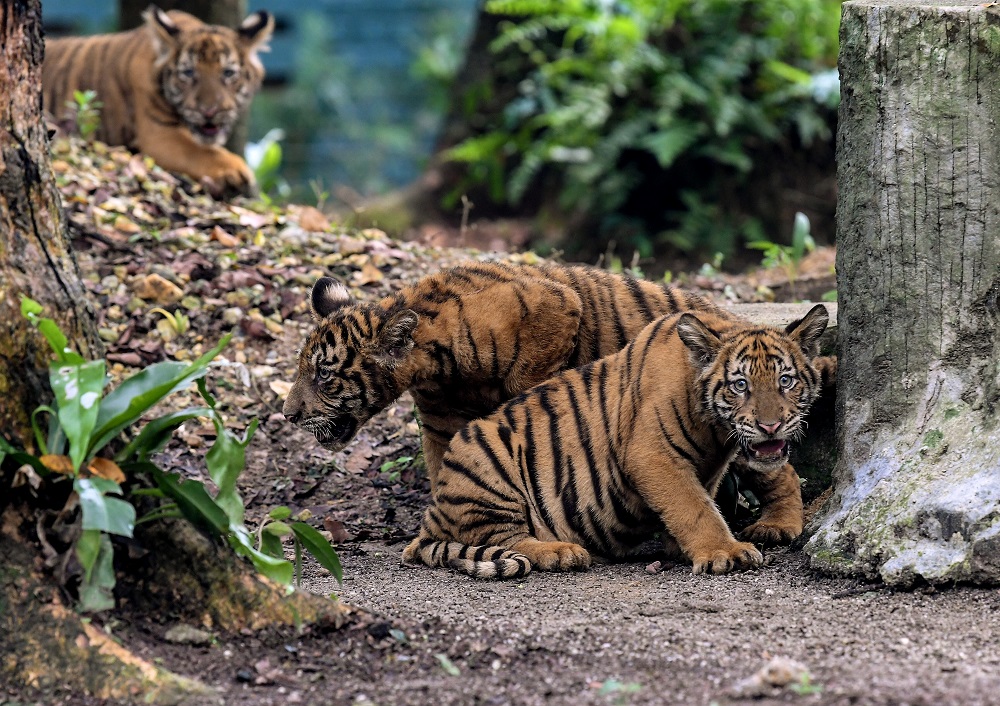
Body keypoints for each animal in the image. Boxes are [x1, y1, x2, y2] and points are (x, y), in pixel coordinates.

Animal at [42, 5, 274, 196]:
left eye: (228, 73)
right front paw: (241, 175)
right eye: (188, 73)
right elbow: (203, 152)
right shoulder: (159, 134)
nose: (209, 111)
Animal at [282, 261, 728, 491]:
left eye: (324, 376)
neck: (436, 370)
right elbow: (444, 467)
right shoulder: (439, 420)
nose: (288, 415)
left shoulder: (556, 307)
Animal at [401, 304, 831, 578]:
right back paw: (561, 552)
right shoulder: (651, 455)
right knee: (508, 538)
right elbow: (694, 506)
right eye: (740, 386)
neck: (715, 430)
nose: (771, 427)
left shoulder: (708, 465)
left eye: (786, 381)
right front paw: (724, 551)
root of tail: (432, 515)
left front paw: (682, 547)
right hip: (482, 461)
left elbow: (702, 497)